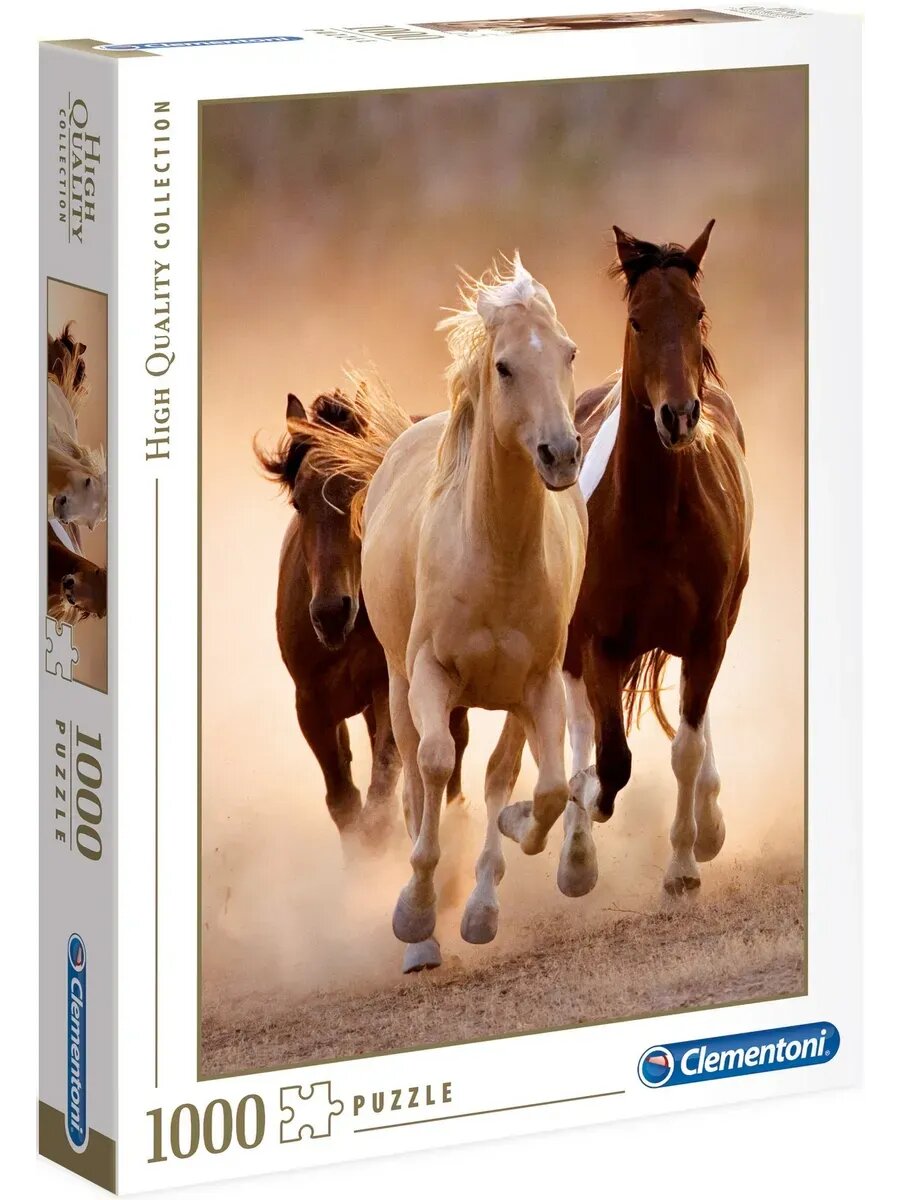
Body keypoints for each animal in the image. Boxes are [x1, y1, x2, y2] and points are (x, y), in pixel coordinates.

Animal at [255, 381, 470, 851]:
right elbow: (344, 802)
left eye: (363, 491)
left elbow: (380, 795)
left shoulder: (387, 689)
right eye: (299, 502)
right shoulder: (311, 705)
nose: (331, 614)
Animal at [312, 257, 587, 972]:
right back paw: (424, 932)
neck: (494, 556)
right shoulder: (430, 675)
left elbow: (541, 788)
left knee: (499, 775)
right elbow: (433, 768)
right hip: (399, 683)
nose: (562, 454)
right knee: (415, 774)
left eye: (569, 353)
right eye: (505, 367)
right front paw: (414, 915)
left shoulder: (538, 684)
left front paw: (504, 867)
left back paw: (481, 902)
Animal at [562, 221, 753, 897]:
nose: (678, 416)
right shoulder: (597, 639)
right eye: (638, 320)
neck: (655, 520)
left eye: (696, 312)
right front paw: (584, 819)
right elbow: (611, 758)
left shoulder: (707, 636)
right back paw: (575, 848)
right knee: (579, 727)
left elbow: (685, 749)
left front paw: (684, 864)